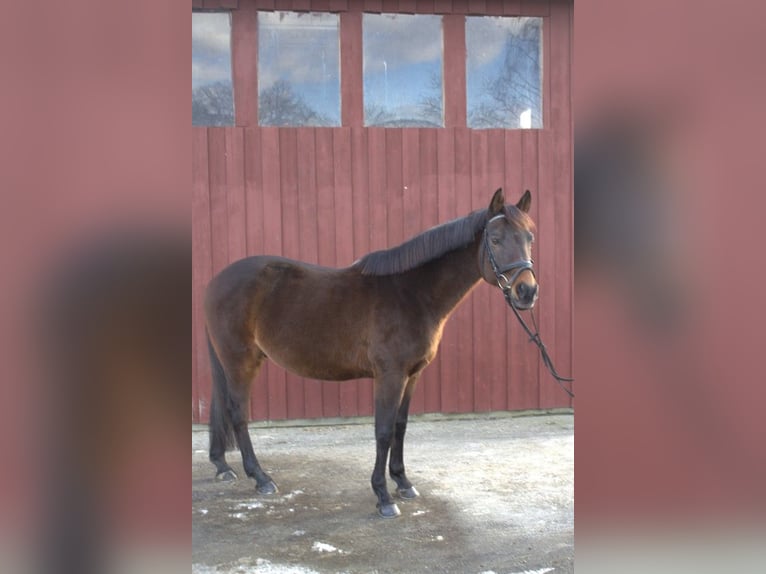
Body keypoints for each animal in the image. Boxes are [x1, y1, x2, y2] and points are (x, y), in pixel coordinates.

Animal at [204, 187, 540, 520]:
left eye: (529, 237)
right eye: (495, 239)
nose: (527, 291)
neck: (411, 293)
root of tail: (215, 281)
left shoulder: (412, 375)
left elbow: (400, 427)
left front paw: (403, 482)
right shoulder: (389, 375)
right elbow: (383, 430)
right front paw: (383, 496)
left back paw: (223, 466)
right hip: (240, 361)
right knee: (238, 413)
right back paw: (260, 478)